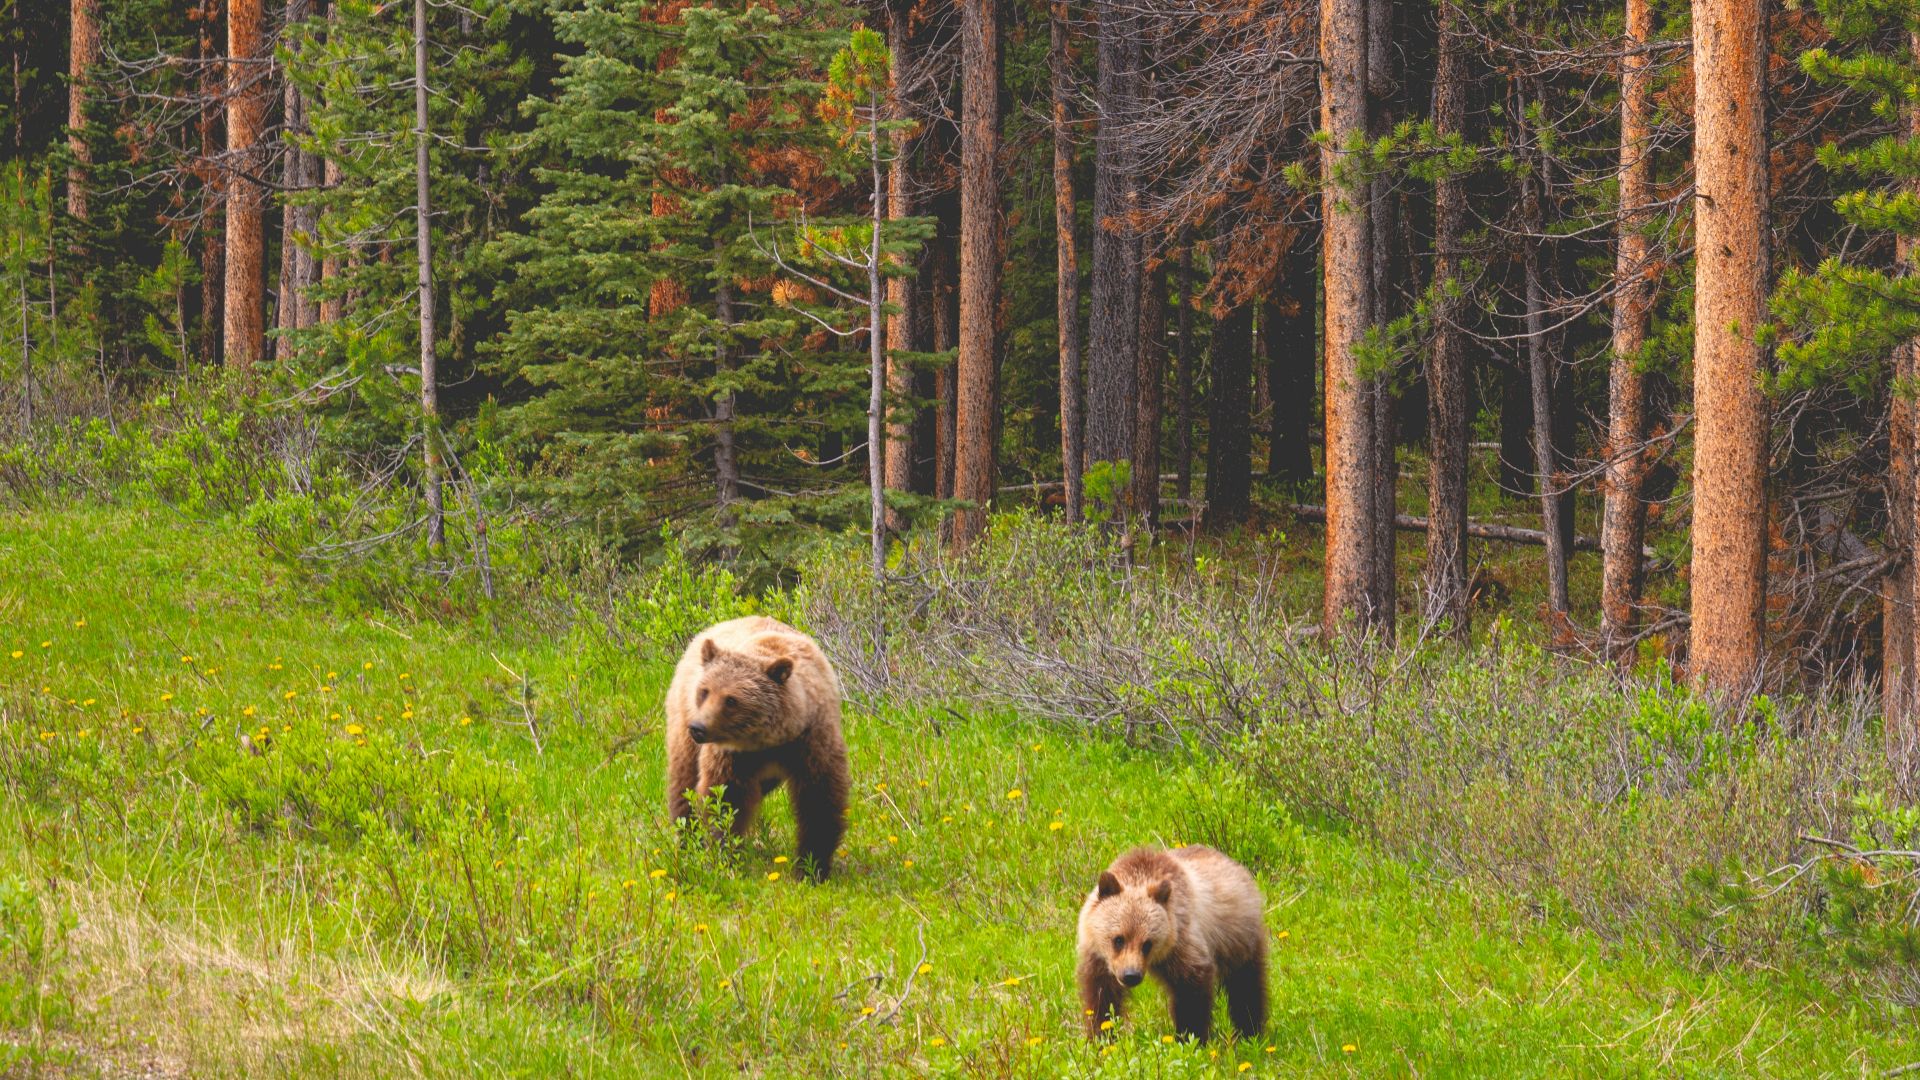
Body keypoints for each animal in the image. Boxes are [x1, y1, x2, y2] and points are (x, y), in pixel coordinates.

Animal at [664, 616, 850, 881]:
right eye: (705, 691)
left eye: (731, 700)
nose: (698, 728)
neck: (769, 740)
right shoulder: (733, 755)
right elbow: (726, 798)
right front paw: (728, 854)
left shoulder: (810, 741)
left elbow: (819, 798)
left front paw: (811, 867)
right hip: (683, 721)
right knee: (684, 782)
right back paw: (689, 840)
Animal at [1075, 845, 1268, 1042]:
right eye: (1119, 939)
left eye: (1147, 944)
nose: (1131, 975)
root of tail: (1236, 865)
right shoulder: (1098, 957)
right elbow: (1102, 997)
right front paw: (1100, 1037)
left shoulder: (1181, 941)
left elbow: (1191, 993)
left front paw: (1190, 1038)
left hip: (1238, 938)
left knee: (1246, 986)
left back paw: (1250, 1034)